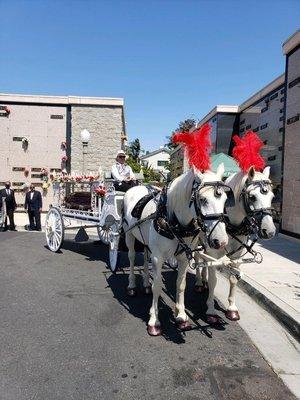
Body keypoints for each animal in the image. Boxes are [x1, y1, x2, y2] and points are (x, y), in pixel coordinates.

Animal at [122, 164, 230, 336]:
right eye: (203, 199)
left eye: (225, 199)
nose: (221, 241)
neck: (173, 221)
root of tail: (138, 186)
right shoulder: (158, 257)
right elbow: (158, 285)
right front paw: (154, 320)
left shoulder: (183, 257)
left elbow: (181, 284)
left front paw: (181, 315)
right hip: (129, 235)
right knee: (132, 257)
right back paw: (132, 286)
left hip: (146, 242)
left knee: (145, 257)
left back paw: (145, 284)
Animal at [195, 166, 276, 322]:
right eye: (252, 197)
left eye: (272, 197)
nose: (269, 231)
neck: (231, 222)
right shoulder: (214, 253)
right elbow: (214, 280)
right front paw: (211, 310)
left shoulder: (237, 255)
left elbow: (233, 278)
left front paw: (232, 308)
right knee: (197, 258)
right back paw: (199, 282)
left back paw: (203, 280)